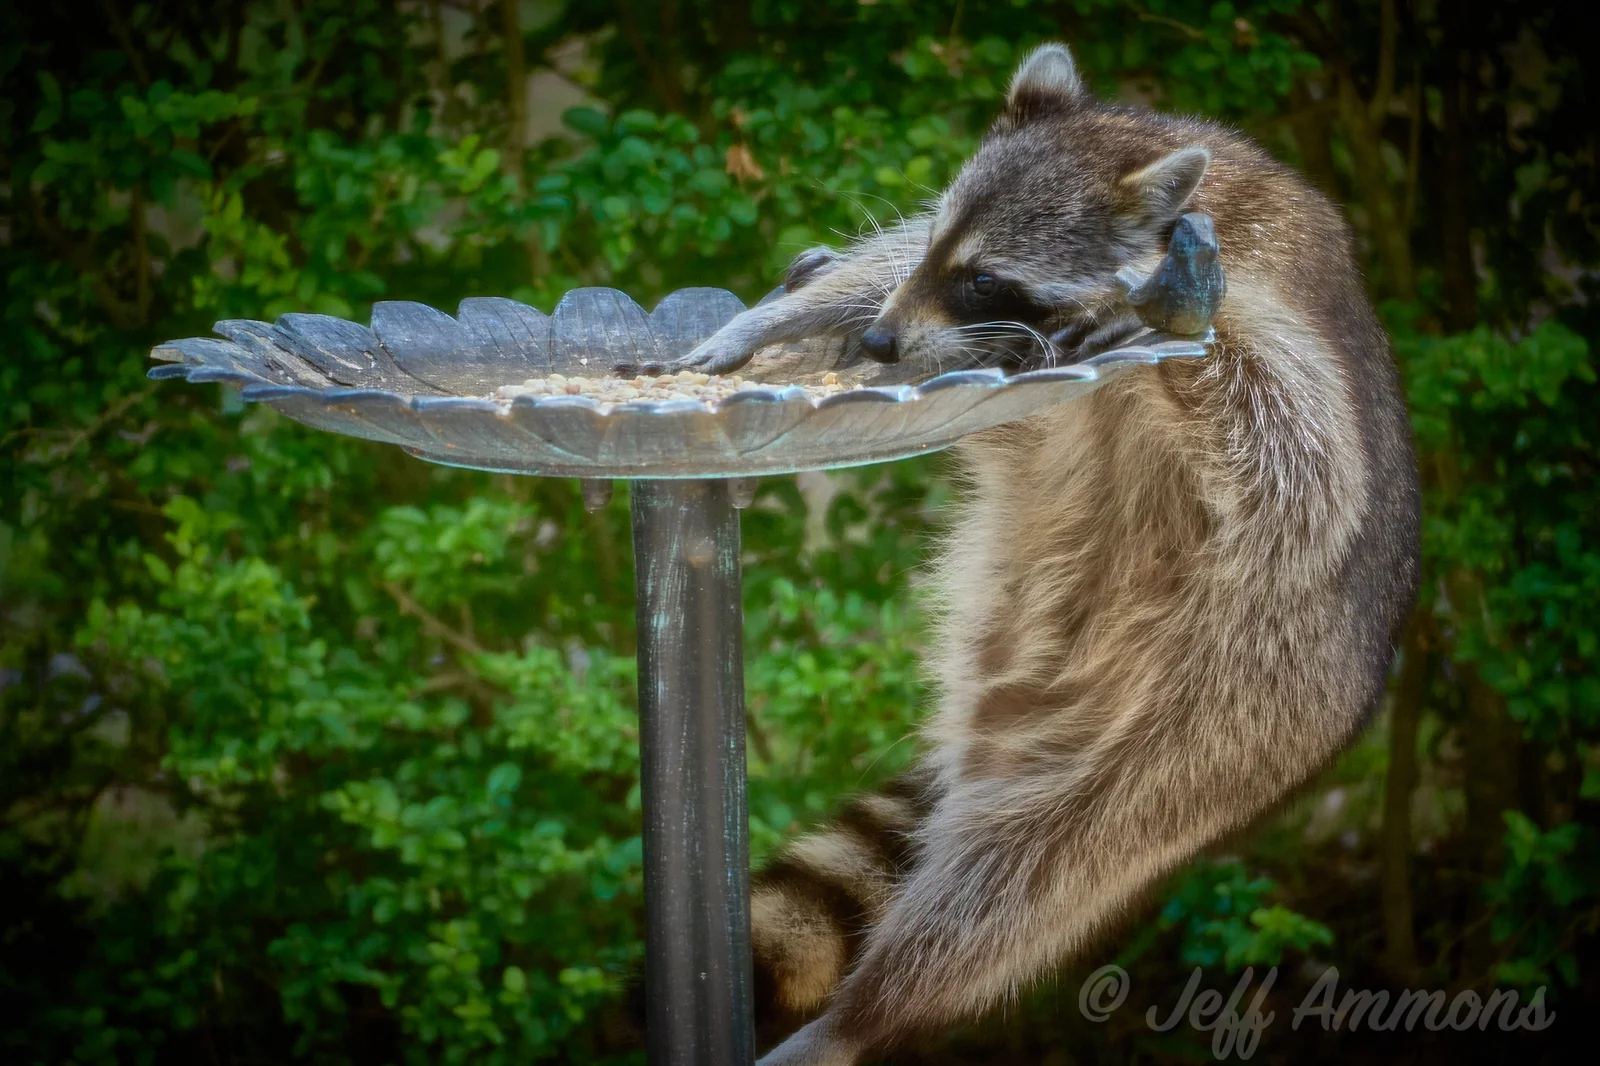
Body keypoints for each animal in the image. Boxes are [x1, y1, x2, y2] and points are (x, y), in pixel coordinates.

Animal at [687, 43, 1421, 1066]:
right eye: (945, 252)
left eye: (987, 278)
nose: (880, 339)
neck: (1135, 146)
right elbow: (885, 259)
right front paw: (785, 314)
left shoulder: (1283, 312)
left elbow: (1299, 444)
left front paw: (1179, 329)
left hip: (1215, 731)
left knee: (1013, 891)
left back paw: (865, 1014)